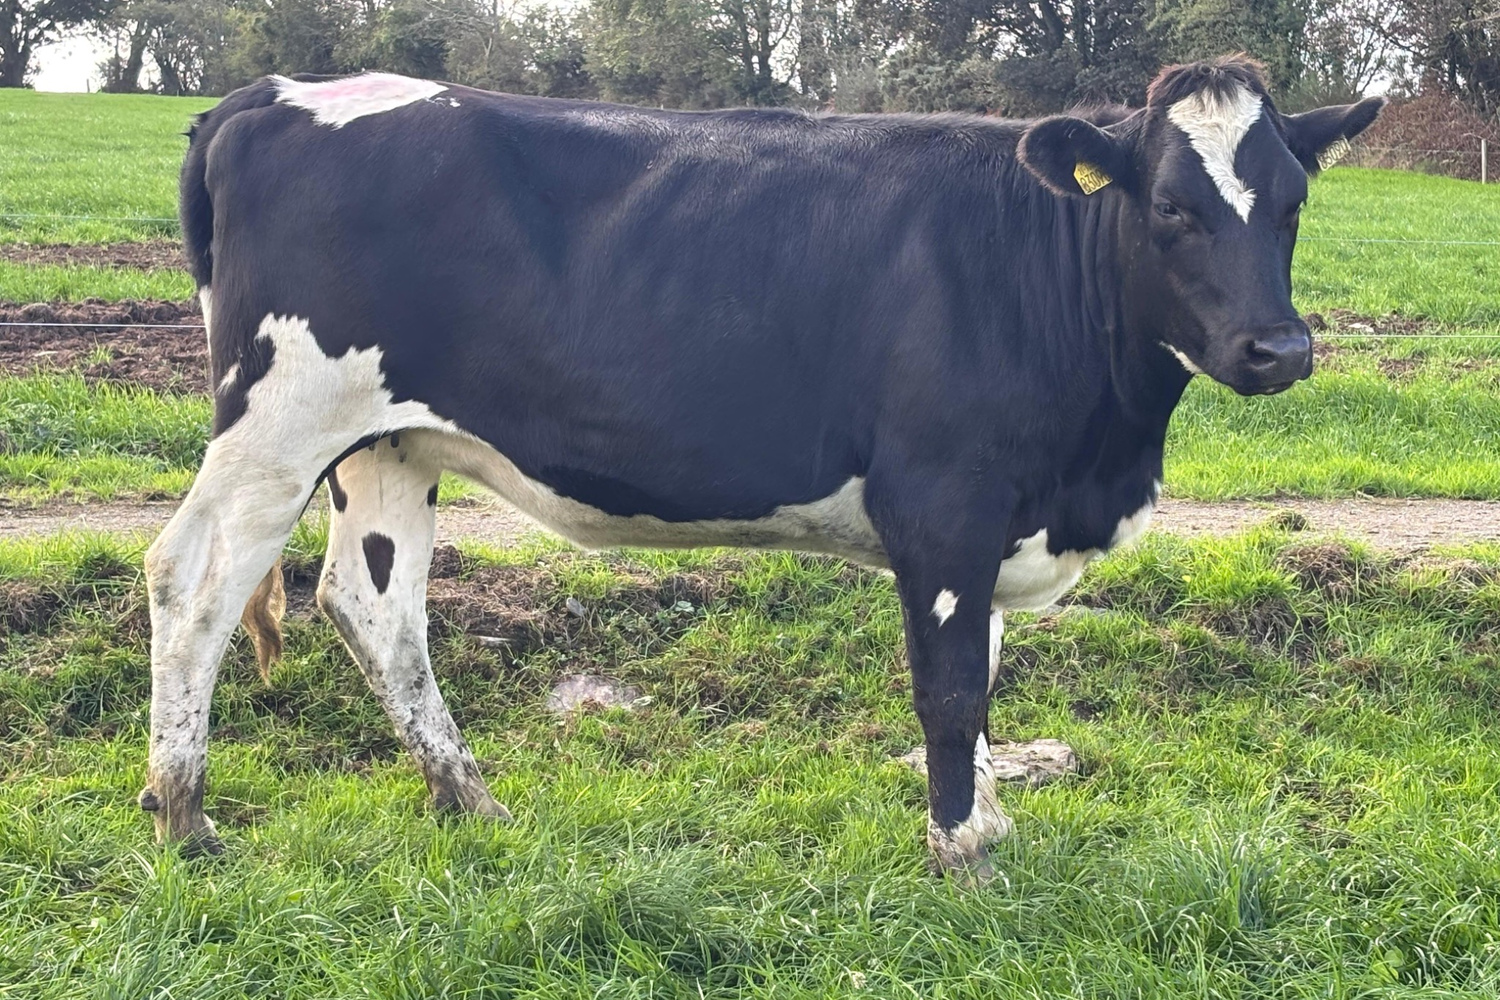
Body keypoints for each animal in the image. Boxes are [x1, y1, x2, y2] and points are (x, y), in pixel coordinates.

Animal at [139, 55, 1381, 877]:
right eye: (1170, 204)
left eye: (1293, 204)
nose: (1280, 349)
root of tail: (269, 94)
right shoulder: (944, 502)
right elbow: (950, 684)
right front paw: (960, 848)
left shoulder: (995, 519)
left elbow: (982, 669)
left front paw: (983, 817)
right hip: (277, 420)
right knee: (191, 578)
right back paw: (185, 812)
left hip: (385, 440)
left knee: (373, 606)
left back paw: (468, 797)